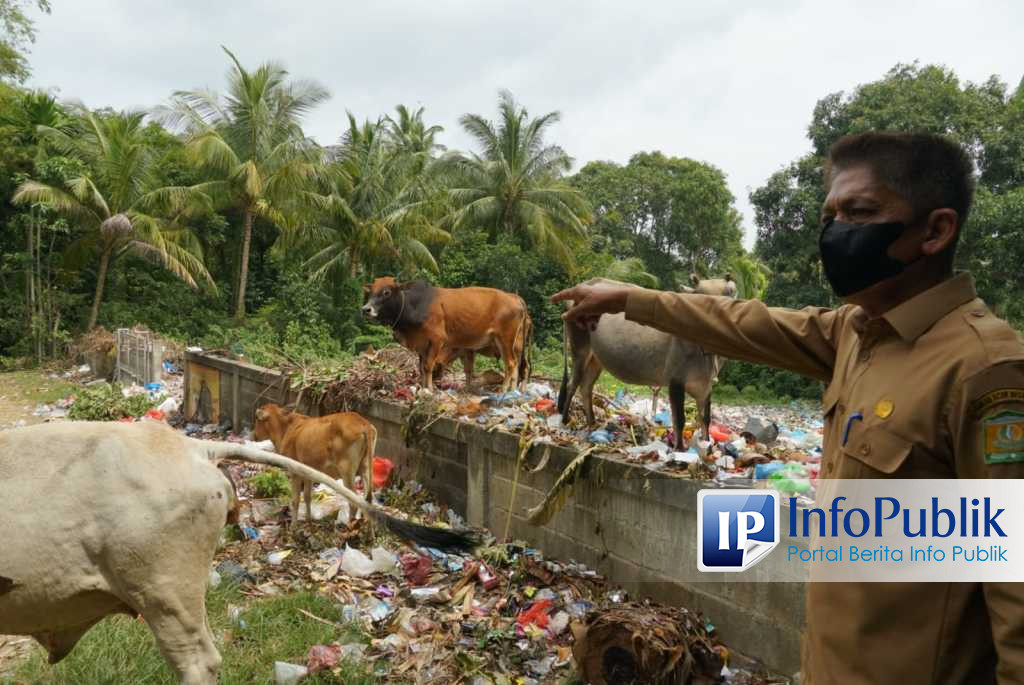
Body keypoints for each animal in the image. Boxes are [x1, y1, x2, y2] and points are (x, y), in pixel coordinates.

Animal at [362, 274, 536, 389]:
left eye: (386, 292)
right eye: (371, 292)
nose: (366, 309)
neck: (416, 305)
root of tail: (515, 299)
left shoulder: (437, 340)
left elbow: (428, 366)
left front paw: (429, 390)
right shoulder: (422, 345)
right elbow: (422, 367)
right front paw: (423, 387)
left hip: (506, 340)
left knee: (512, 364)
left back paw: (503, 391)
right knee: (517, 366)